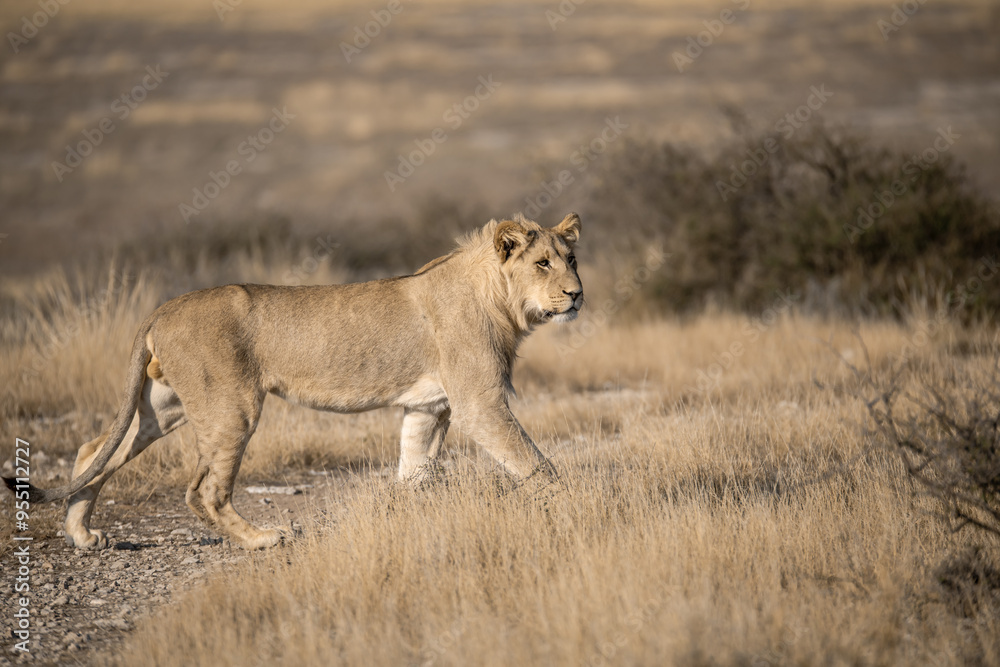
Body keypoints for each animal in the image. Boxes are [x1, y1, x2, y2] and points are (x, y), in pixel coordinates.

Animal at [4, 213, 584, 550]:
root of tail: (163, 306)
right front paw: (575, 509)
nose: (577, 294)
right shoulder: (477, 402)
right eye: (542, 263)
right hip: (232, 408)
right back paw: (262, 540)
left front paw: (407, 523)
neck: (501, 299)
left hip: (162, 407)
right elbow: (537, 464)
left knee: (94, 449)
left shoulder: (428, 406)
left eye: (573, 258)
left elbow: (415, 473)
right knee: (204, 490)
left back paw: (82, 536)